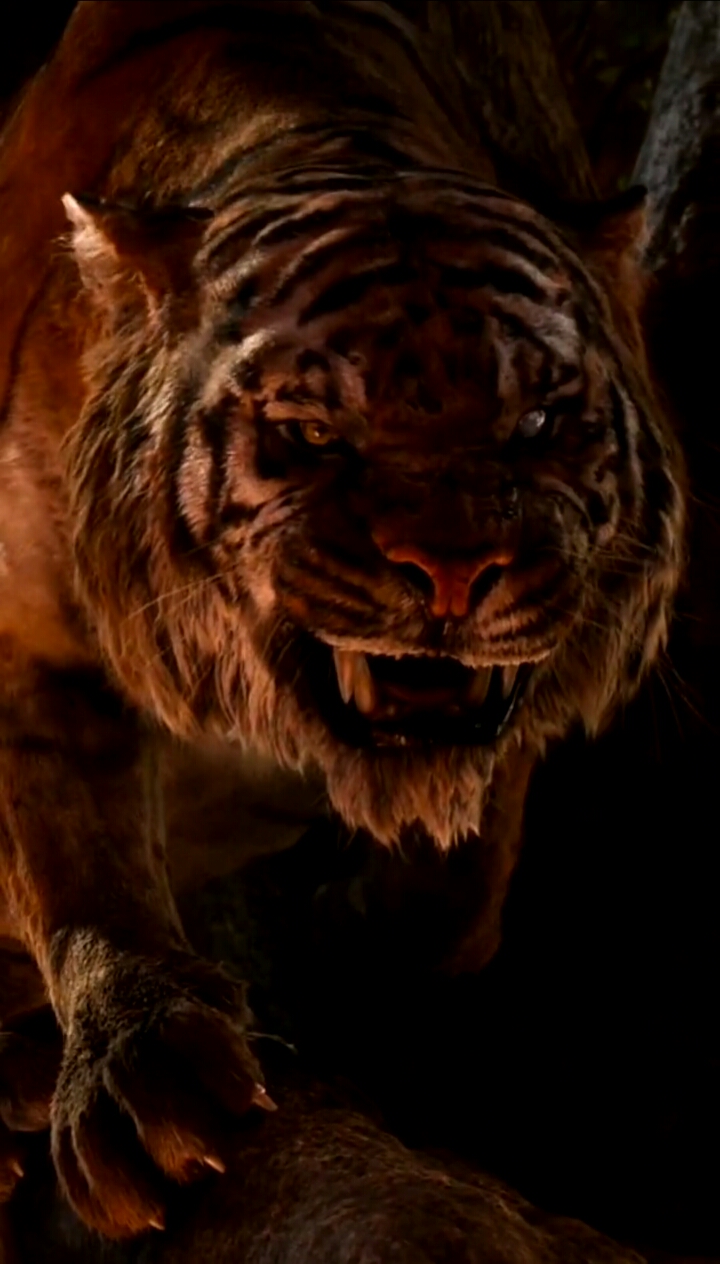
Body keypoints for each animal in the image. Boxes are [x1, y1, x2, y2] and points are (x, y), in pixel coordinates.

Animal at [0, 0, 685, 1243]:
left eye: (538, 421)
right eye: (314, 434)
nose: (455, 570)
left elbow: (459, 879)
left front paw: (354, 957)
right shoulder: (31, 641)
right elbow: (76, 862)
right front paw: (142, 1080)